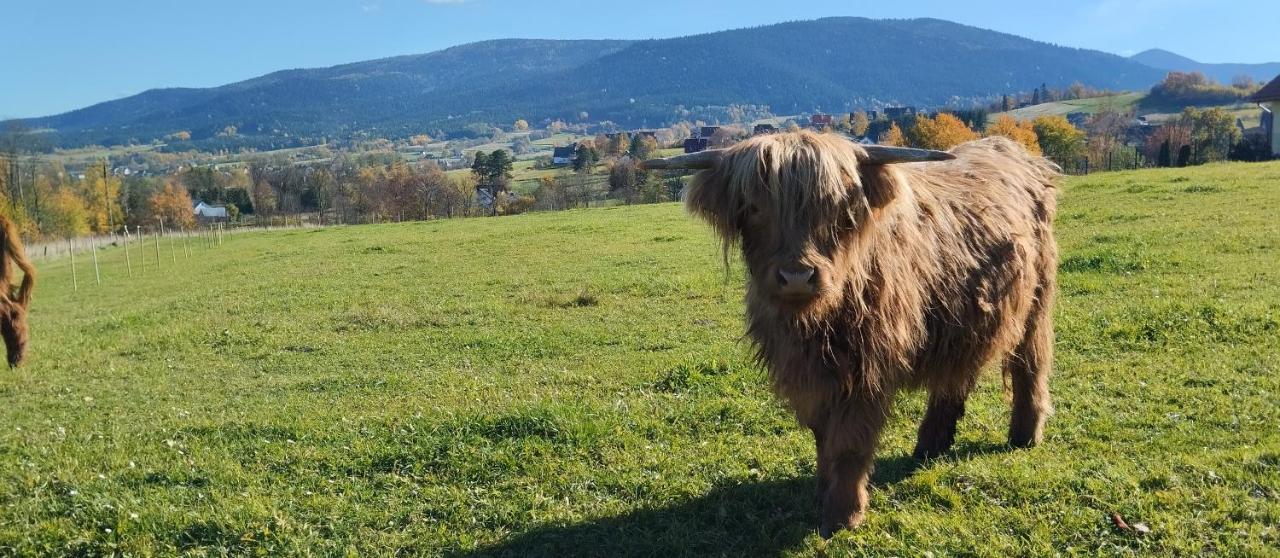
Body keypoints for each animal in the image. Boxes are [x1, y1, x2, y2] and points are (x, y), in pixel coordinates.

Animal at [650, 130, 1059, 534]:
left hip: (1036, 302)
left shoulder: (867, 367)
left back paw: (1024, 434)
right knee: (956, 373)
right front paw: (822, 490)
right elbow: (821, 435)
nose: (796, 276)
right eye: (753, 207)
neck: (816, 324)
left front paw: (843, 512)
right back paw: (932, 443)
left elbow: (849, 440)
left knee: (1030, 363)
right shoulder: (809, 372)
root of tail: (1013, 150)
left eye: (835, 207)